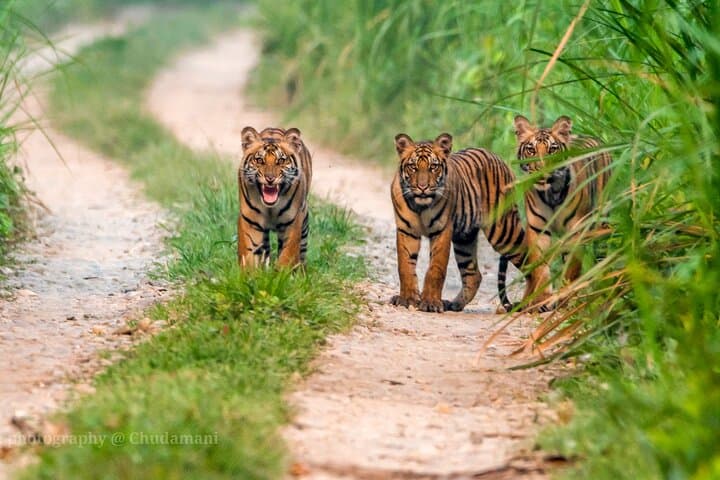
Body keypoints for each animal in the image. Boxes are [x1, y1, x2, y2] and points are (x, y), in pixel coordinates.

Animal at [237, 126, 312, 268]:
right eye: (259, 160)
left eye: (281, 161)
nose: (270, 178)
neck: (270, 208)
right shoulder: (250, 222)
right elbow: (249, 254)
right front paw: (250, 273)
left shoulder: (292, 223)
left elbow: (287, 255)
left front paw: (281, 273)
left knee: (303, 250)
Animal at [390, 132, 552, 313]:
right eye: (413, 167)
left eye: (434, 167)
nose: (422, 187)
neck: (420, 205)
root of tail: (499, 159)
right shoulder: (406, 231)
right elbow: (405, 266)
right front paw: (407, 299)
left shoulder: (442, 231)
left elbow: (436, 268)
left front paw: (431, 303)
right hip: (464, 239)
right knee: (474, 275)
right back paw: (454, 304)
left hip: (503, 232)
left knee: (532, 263)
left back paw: (533, 304)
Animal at [512, 114, 612, 285]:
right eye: (531, 150)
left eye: (552, 149)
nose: (541, 169)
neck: (551, 193)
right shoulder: (538, 231)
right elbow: (540, 270)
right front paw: (542, 291)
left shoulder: (576, 232)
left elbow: (571, 270)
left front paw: (567, 289)